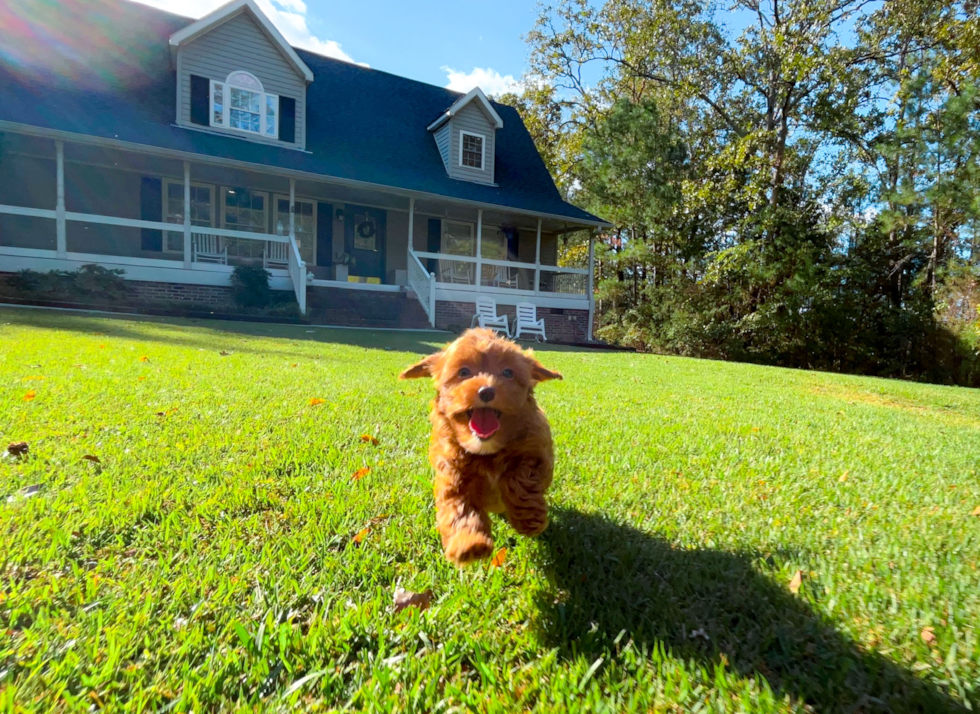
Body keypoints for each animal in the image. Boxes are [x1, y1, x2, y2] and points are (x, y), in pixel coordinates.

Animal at [398, 326, 564, 560]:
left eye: (508, 373)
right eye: (464, 372)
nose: (486, 391)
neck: (486, 450)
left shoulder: (536, 451)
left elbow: (520, 478)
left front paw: (529, 520)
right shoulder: (452, 474)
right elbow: (459, 508)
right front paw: (469, 544)